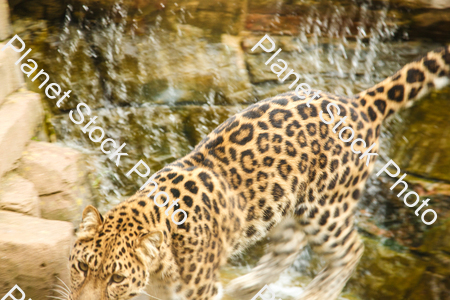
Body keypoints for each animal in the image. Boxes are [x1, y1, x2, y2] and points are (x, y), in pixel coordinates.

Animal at [66, 45, 450, 300]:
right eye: (82, 267)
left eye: (116, 278)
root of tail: (357, 104)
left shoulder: (197, 292)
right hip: (284, 205)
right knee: (289, 248)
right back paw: (241, 287)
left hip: (325, 208)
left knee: (351, 249)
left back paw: (316, 293)